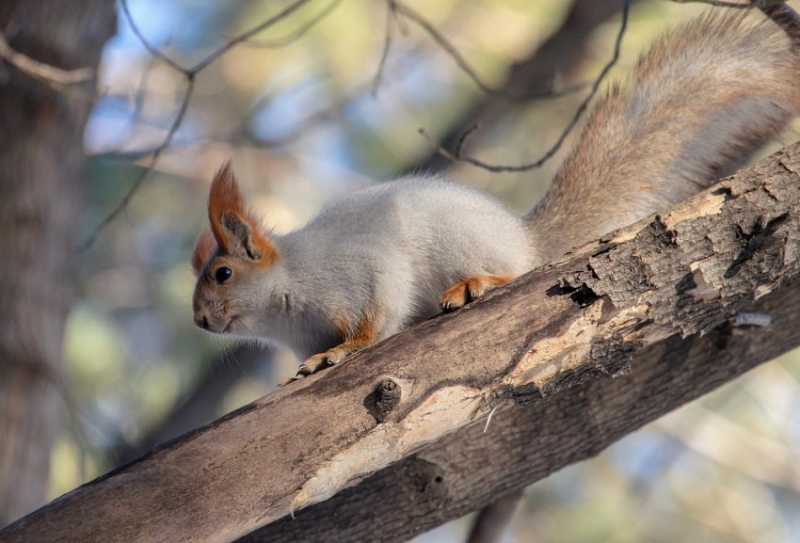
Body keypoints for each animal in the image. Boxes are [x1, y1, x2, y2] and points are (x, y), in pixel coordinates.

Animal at [192, 6, 800, 384]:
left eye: (223, 273)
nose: (198, 321)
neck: (288, 293)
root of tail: (523, 237)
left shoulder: (359, 269)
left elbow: (377, 314)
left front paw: (342, 351)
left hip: (465, 246)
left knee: (518, 272)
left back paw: (477, 284)